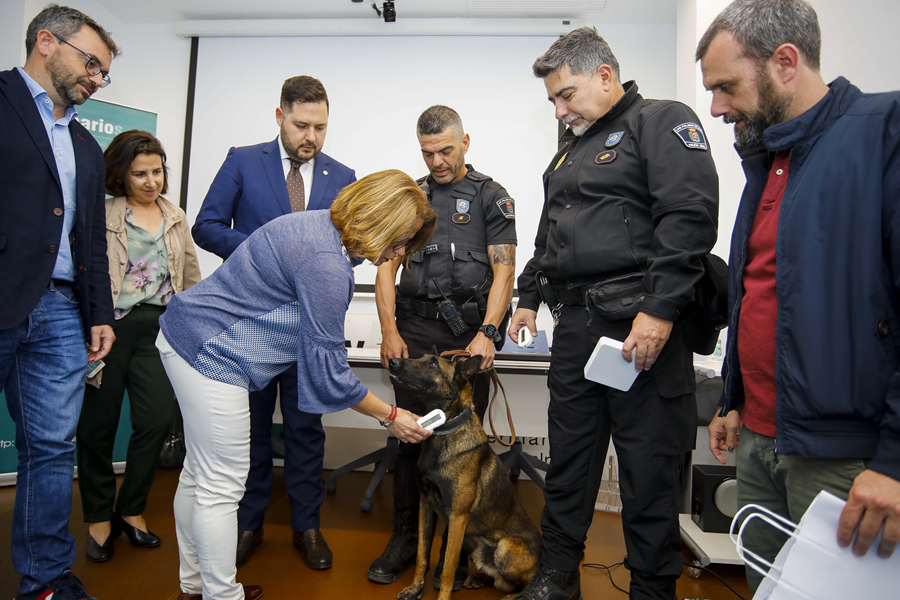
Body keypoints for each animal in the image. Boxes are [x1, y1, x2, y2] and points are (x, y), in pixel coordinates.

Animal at [388, 354, 540, 596]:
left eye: (433, 364)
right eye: (420, 356)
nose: (393, 361)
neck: (444, 430)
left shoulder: (458, 518)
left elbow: (448, 570)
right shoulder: (425, 506)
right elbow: (422, 555)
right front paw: (415, 588)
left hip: (504, 549)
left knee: (522, 581)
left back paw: (514, 596)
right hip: (476, 548)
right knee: (499, 580)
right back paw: (477, 578)